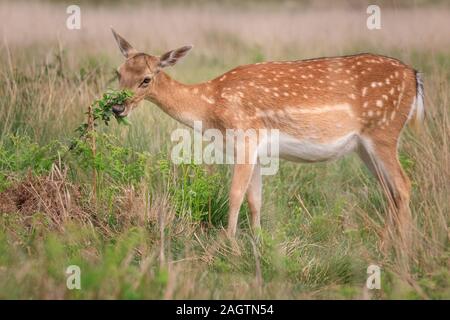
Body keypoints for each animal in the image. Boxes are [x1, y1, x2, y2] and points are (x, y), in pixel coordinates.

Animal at [110, 30, 424, 245]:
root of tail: (414, 75)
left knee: (403, 185)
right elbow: (255, 199)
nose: (116, 107)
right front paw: (257, 242)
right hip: (363, 146)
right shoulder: (257, 151)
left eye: (146, 79)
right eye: (118, 73)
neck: (211, 106)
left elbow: (235, 194)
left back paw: (403, 251)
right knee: (389, 191)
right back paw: (385, 246)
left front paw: (227, 245)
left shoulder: (245, 137)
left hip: (384, 132)